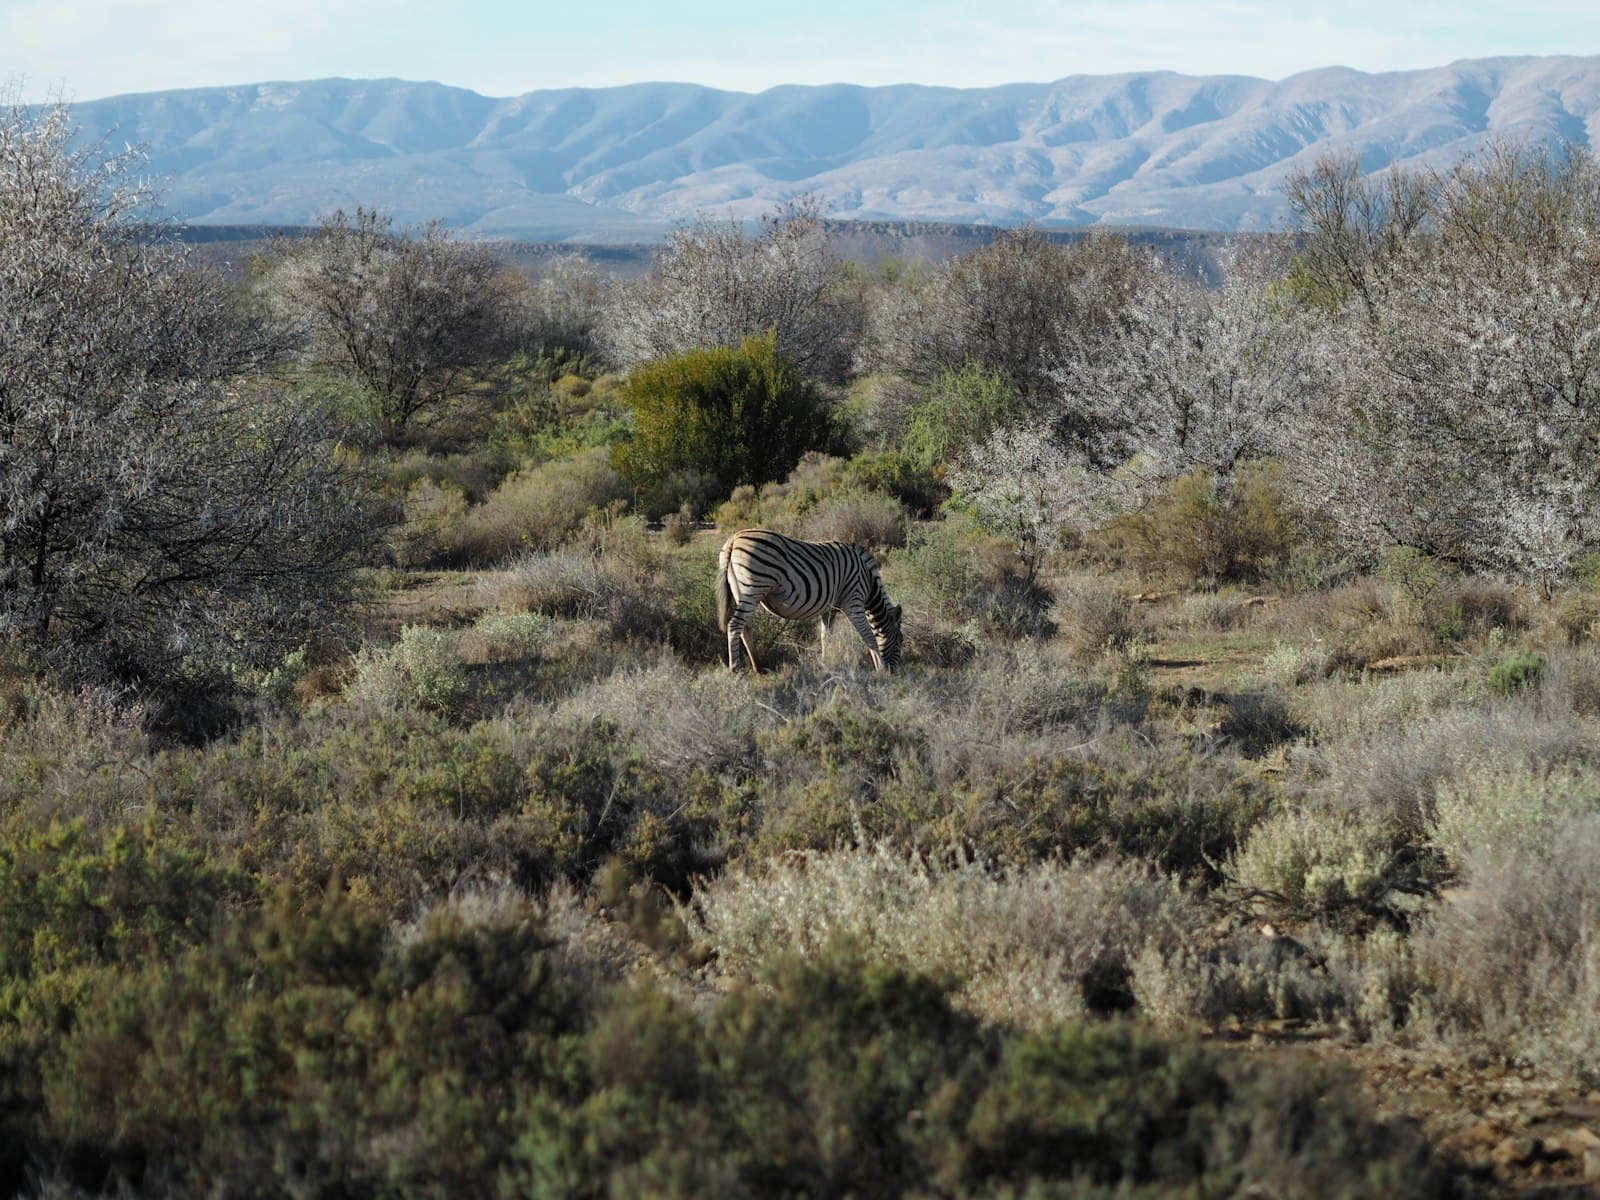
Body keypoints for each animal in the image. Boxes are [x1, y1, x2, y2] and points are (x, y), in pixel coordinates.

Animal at [716, 528, 903, 673]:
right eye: (900, 641)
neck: (868, 580)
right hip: (751, 590)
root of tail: (733, 539)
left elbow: (826, 637)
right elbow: (869, 636)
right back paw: (736, 669)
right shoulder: (853, 601)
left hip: (742, 593)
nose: (895, 671)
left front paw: (826, 664)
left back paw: (758, 667)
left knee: (745, 629)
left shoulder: (830, 610)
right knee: (734, 626)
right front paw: (881, 669)